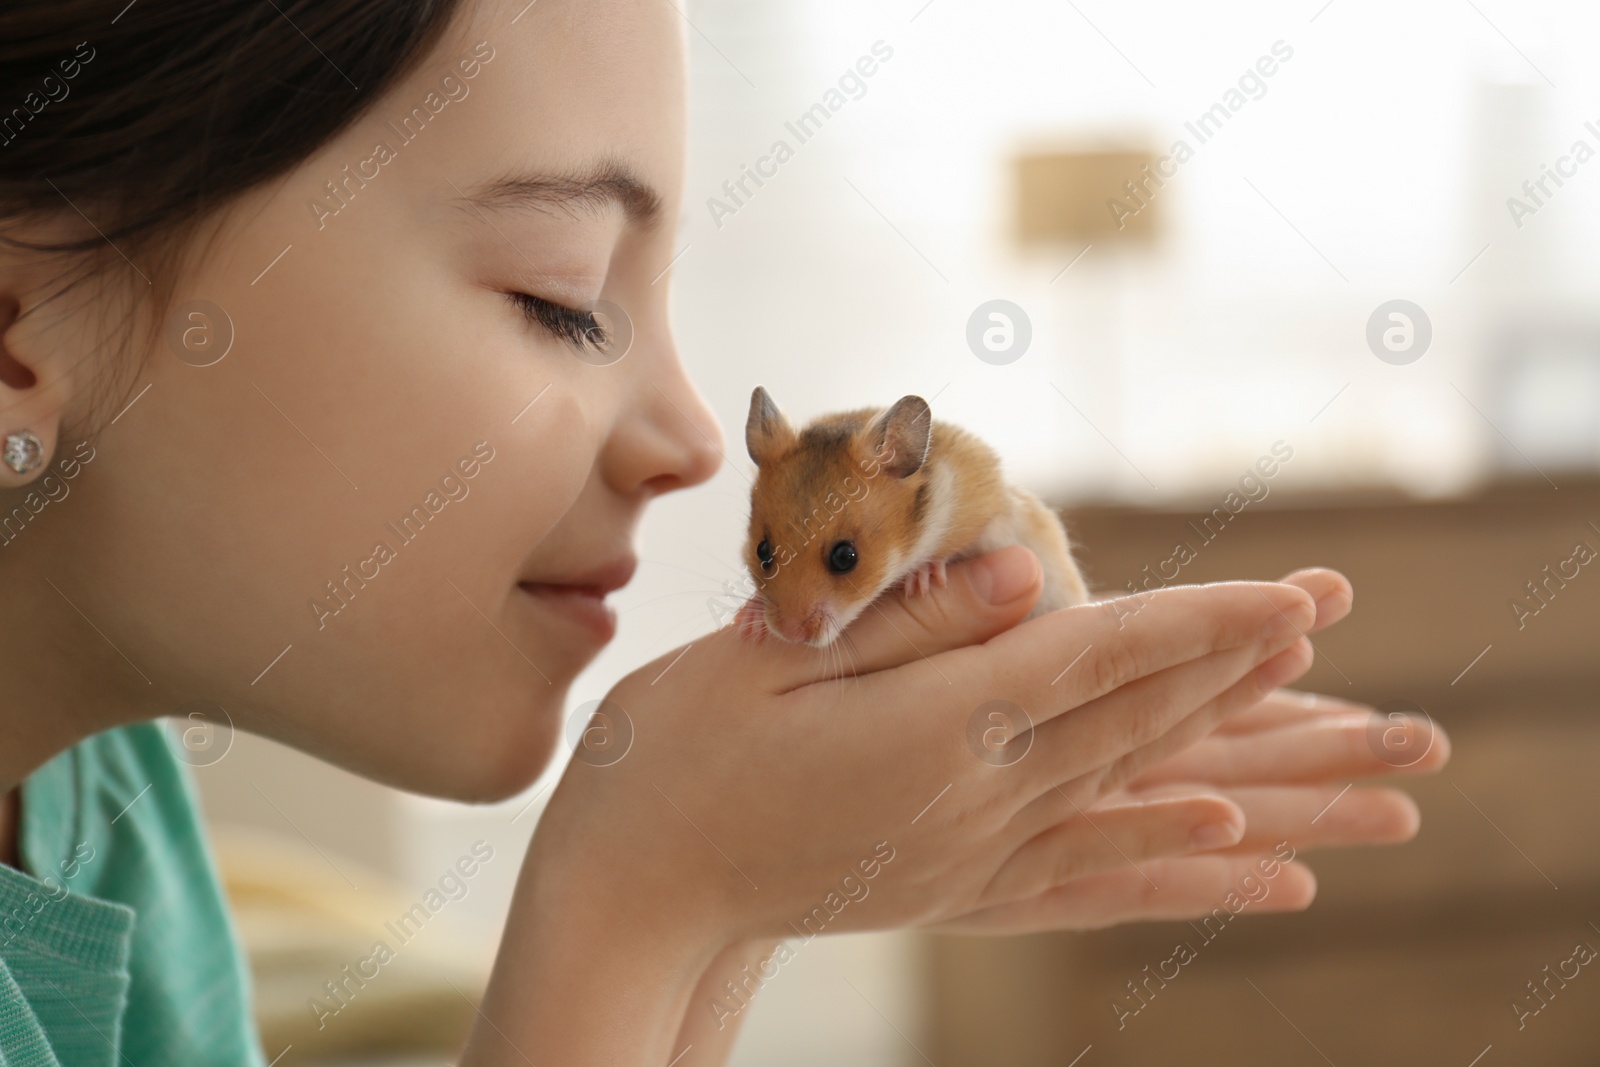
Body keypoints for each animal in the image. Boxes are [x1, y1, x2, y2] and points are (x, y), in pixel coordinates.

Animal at [732, 388, 1088, 646]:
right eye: (763, 551)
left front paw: (922, 580)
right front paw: (747, 621)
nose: (790, 635)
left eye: (845, 557)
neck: (914, 537)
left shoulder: (984, 508)